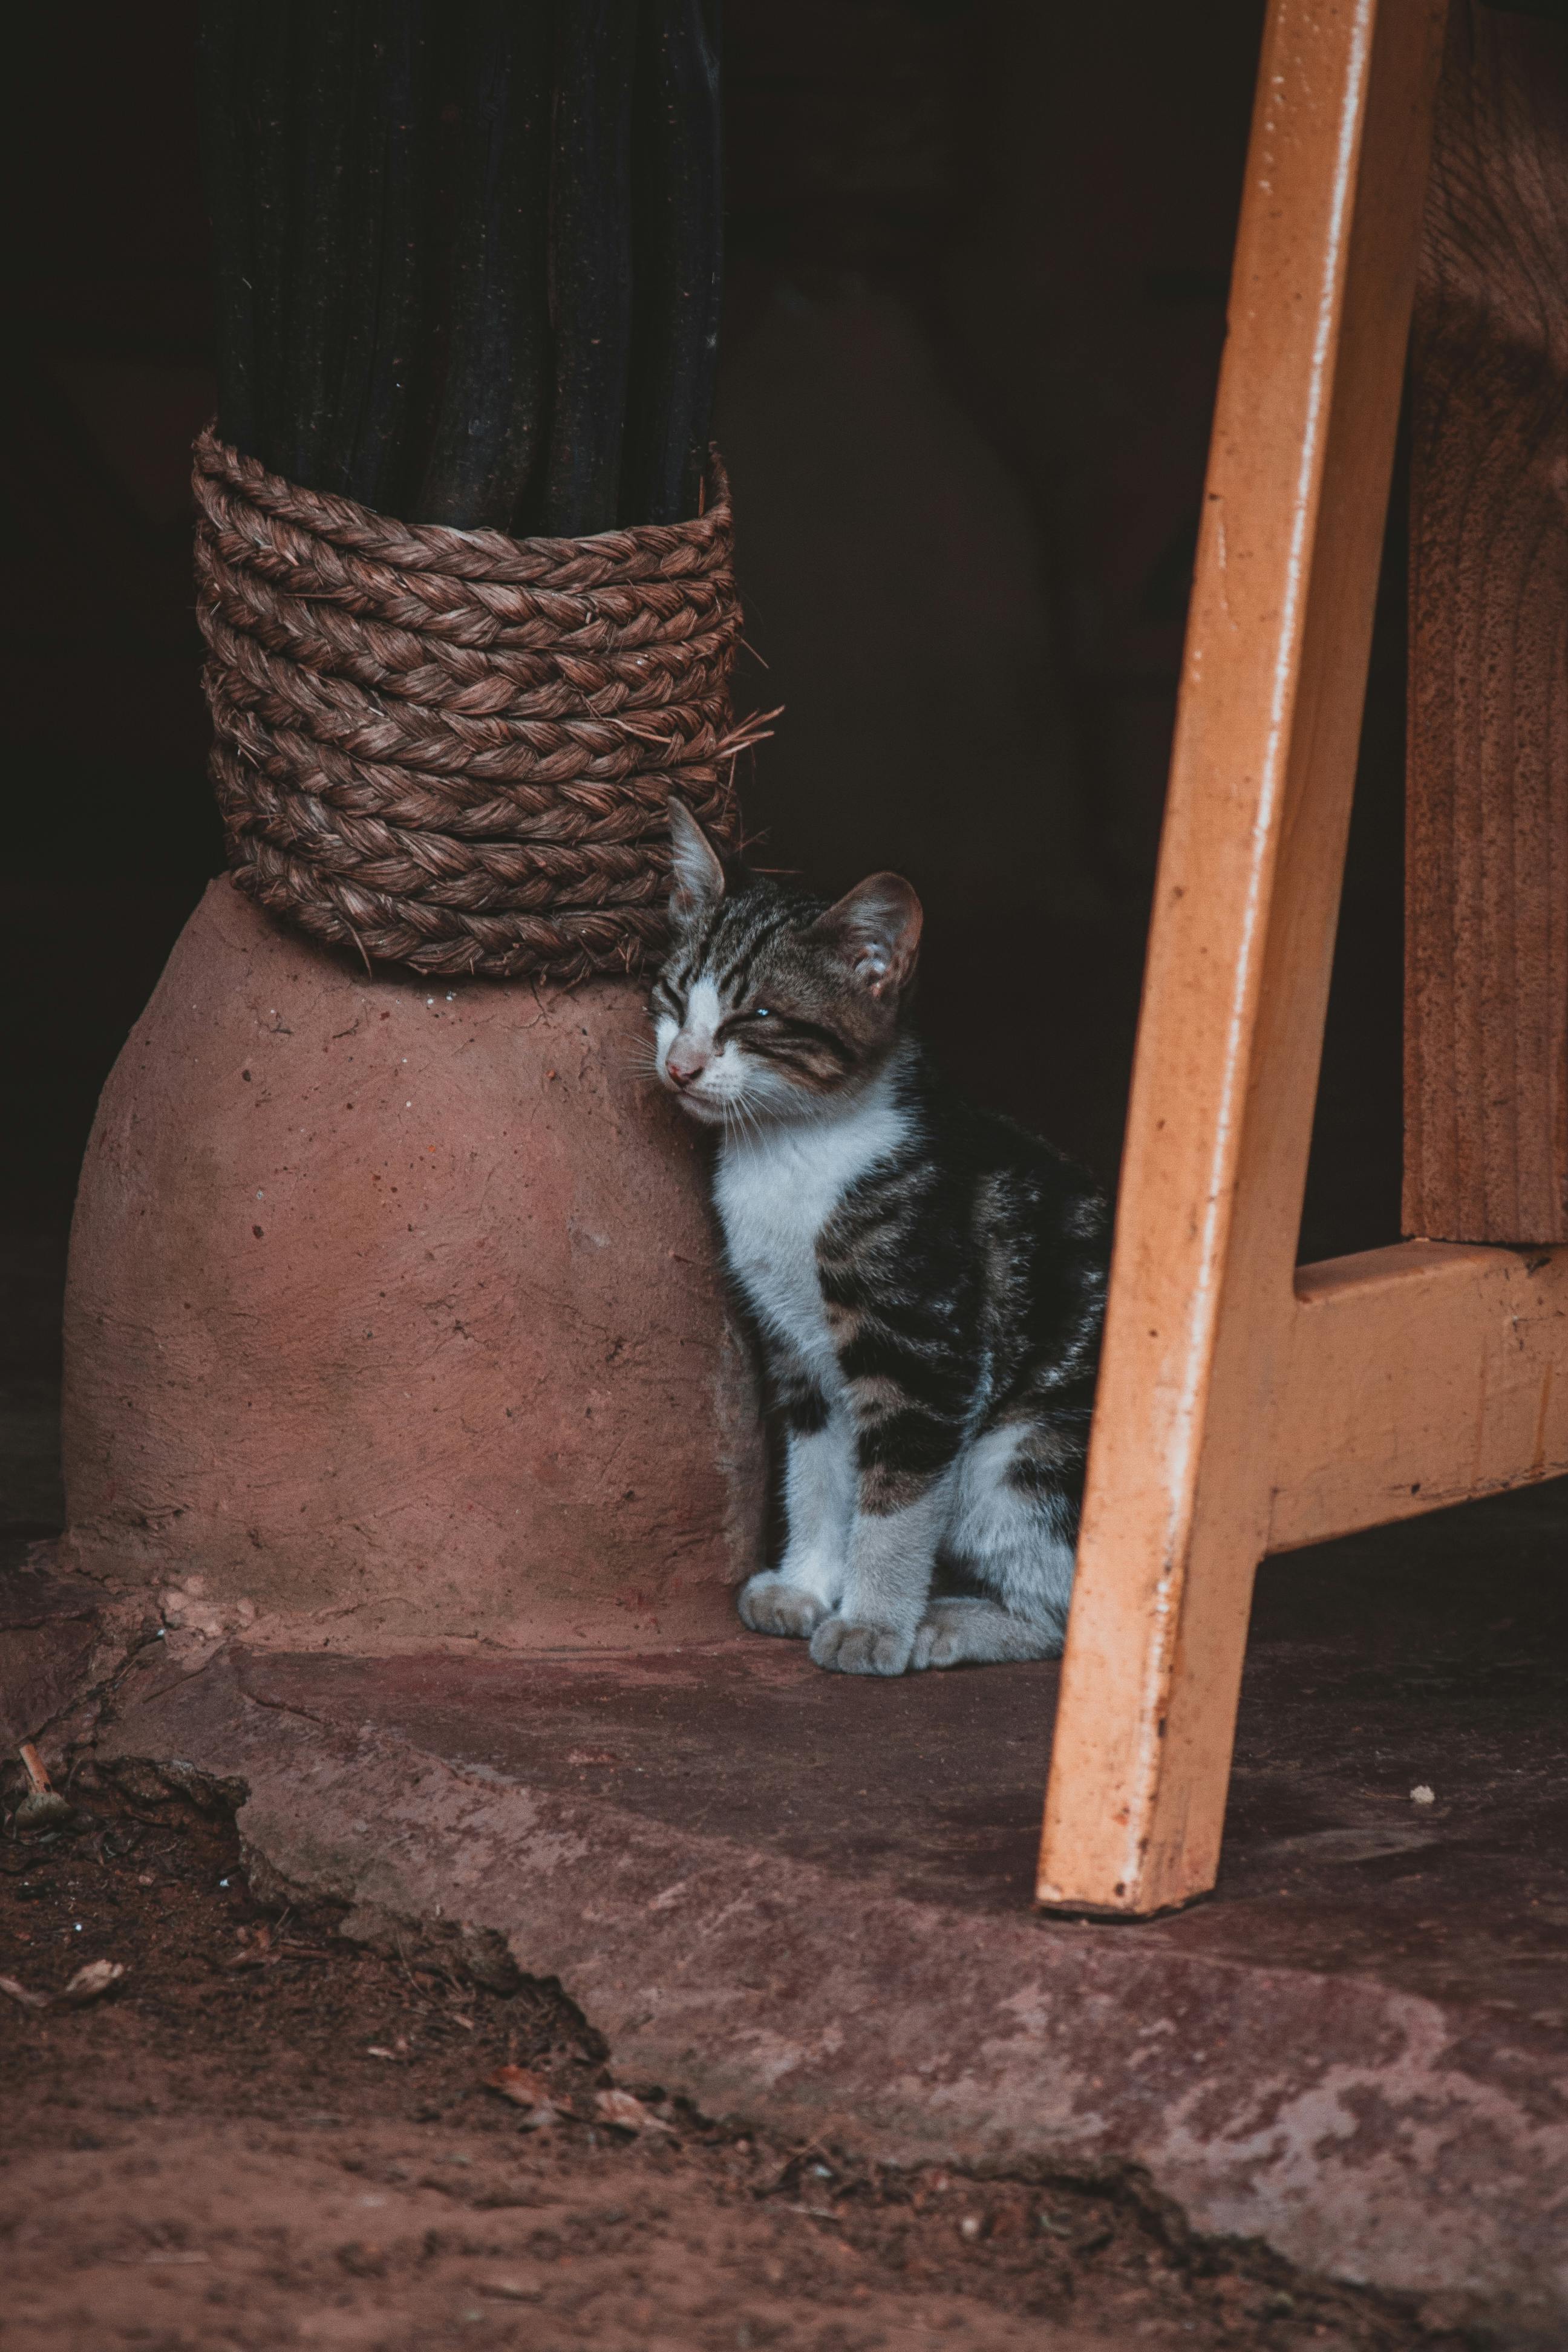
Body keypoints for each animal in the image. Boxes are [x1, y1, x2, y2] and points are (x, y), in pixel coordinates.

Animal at [648, 804, 1105, 1674]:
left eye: (757, 1017)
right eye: (674, 995)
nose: (681, 1067)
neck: (794, 1153)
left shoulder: (923, 1348)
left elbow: (896, 1497)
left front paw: (872, 1622)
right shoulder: (799, 1350)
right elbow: (821, 1477)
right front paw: (805, 1585)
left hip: (1023, 1456)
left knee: (1072, 1610)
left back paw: (952, 1623)